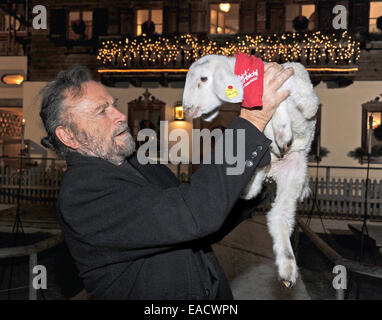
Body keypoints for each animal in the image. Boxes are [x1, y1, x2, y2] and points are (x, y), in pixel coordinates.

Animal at [182, 53, 320, 286]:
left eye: (203, 79)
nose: (187, 109)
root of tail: (272, 172)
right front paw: (278, 133)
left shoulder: (302, 91)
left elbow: (291, 102)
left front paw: (283, 133)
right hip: (265, 171)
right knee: (264, 203)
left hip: (295, 171)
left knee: (280, 216)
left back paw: (287, 268)